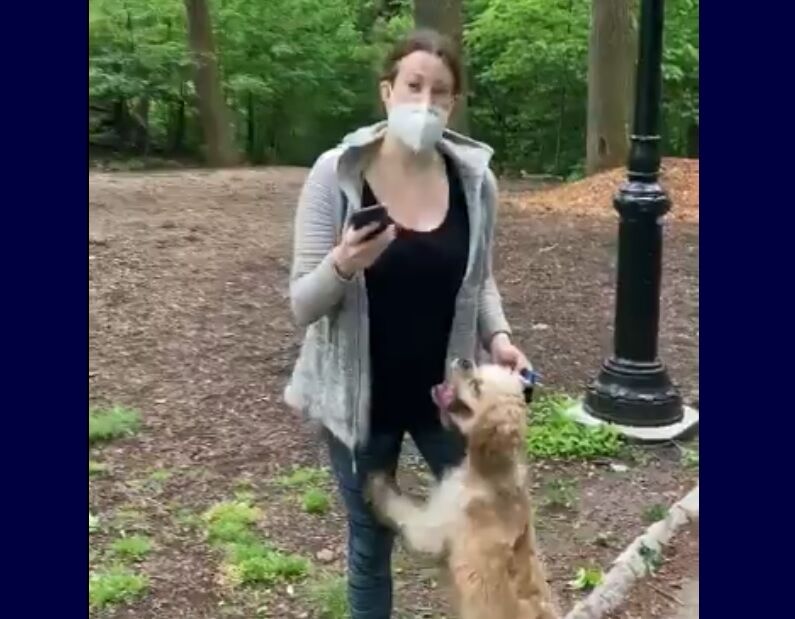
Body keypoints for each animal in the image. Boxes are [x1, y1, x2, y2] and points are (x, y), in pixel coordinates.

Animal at [366, 358, 560, 619]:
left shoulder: (435, 530)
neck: (490, 476)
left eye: (477, 387)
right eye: (481, 367)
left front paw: (376, 482)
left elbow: (401, 509)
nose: (464, 360)